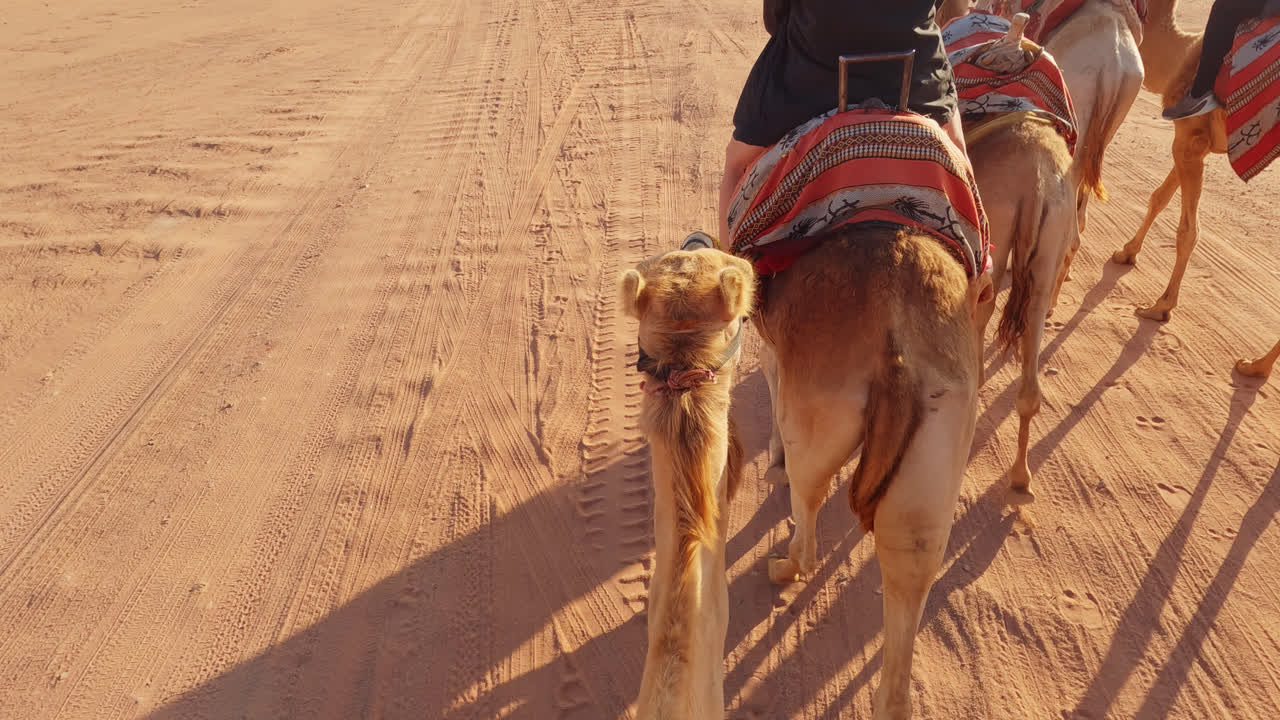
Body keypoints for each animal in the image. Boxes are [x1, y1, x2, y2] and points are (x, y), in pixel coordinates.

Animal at [1109, 0, 1233, 321]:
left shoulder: (1189, 139)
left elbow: (1189, 229)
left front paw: (1161, 306)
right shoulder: (1194, 144)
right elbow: (1158, 197)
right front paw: (1126, 252)